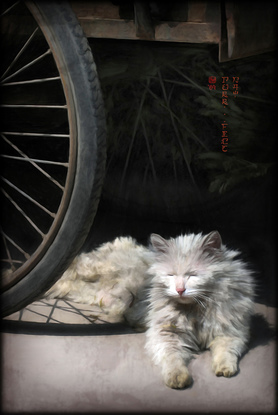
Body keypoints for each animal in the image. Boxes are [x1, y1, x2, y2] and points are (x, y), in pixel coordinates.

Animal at [45, 231, 254, 390]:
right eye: (170, 275)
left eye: (193, 275)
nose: (180, 290)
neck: (195, 310)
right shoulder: (166, 334)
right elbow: (173, 359)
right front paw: (178, 378)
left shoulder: (231, 332)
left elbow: (226, 353)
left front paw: (224, 370)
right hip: (91, 269)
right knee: (72, 267)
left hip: (87, 291)